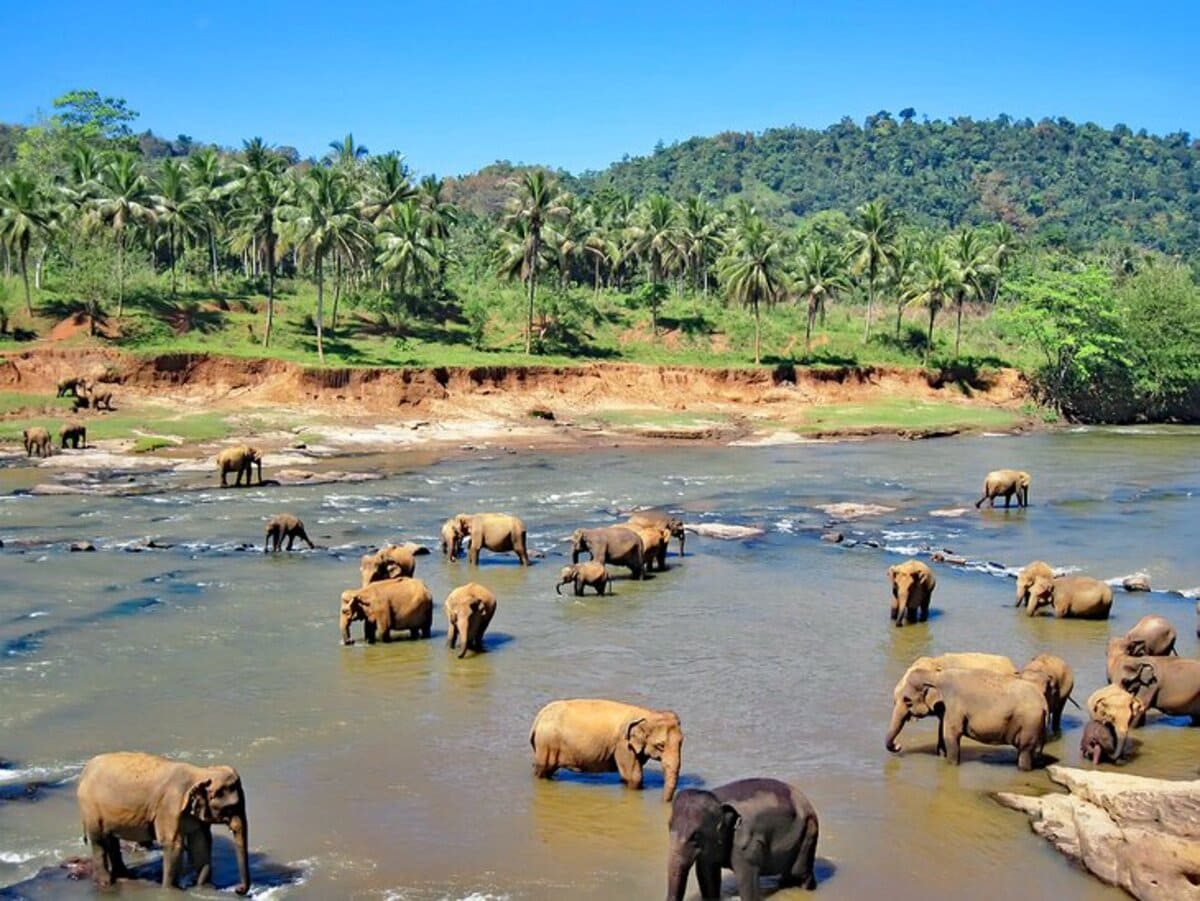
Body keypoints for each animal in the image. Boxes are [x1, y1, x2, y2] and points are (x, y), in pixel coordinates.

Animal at [77, 751, 249, 894]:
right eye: (230, 808)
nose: (238, 889)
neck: (201, 773)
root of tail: (85, 771)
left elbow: (202, 843)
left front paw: (205, 888)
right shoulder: (169, 807)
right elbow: (173, 844)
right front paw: (171, 890)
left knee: (111, 839)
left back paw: (124, 876)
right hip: (90, 807)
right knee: (99, 841)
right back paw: (106, 883)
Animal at [530, 698, 682, 801]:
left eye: (681, 743)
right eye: (660, 745)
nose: (663, 802)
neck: (647, 713)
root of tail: (538, 718)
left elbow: (627, 776)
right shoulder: (623, 745)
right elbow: (634, 777)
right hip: (547, 744)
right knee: (542, 771)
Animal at [666, 778, 819, 901]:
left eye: (695, 835)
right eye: (669, 826)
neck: (718, 799)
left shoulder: (746, 845)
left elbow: (746, 882)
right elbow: (707, 875)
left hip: (809, 831)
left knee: (799, 872)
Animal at [885, 667, 1047, 771]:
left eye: (907, 701)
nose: (898, 746)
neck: (935, 675)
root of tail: (1043, 701)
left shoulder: (954, 706)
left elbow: (951, 736)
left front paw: (951, 765)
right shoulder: (945, 710)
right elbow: (942, 736)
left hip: (1030, 723)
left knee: (1025, 750)